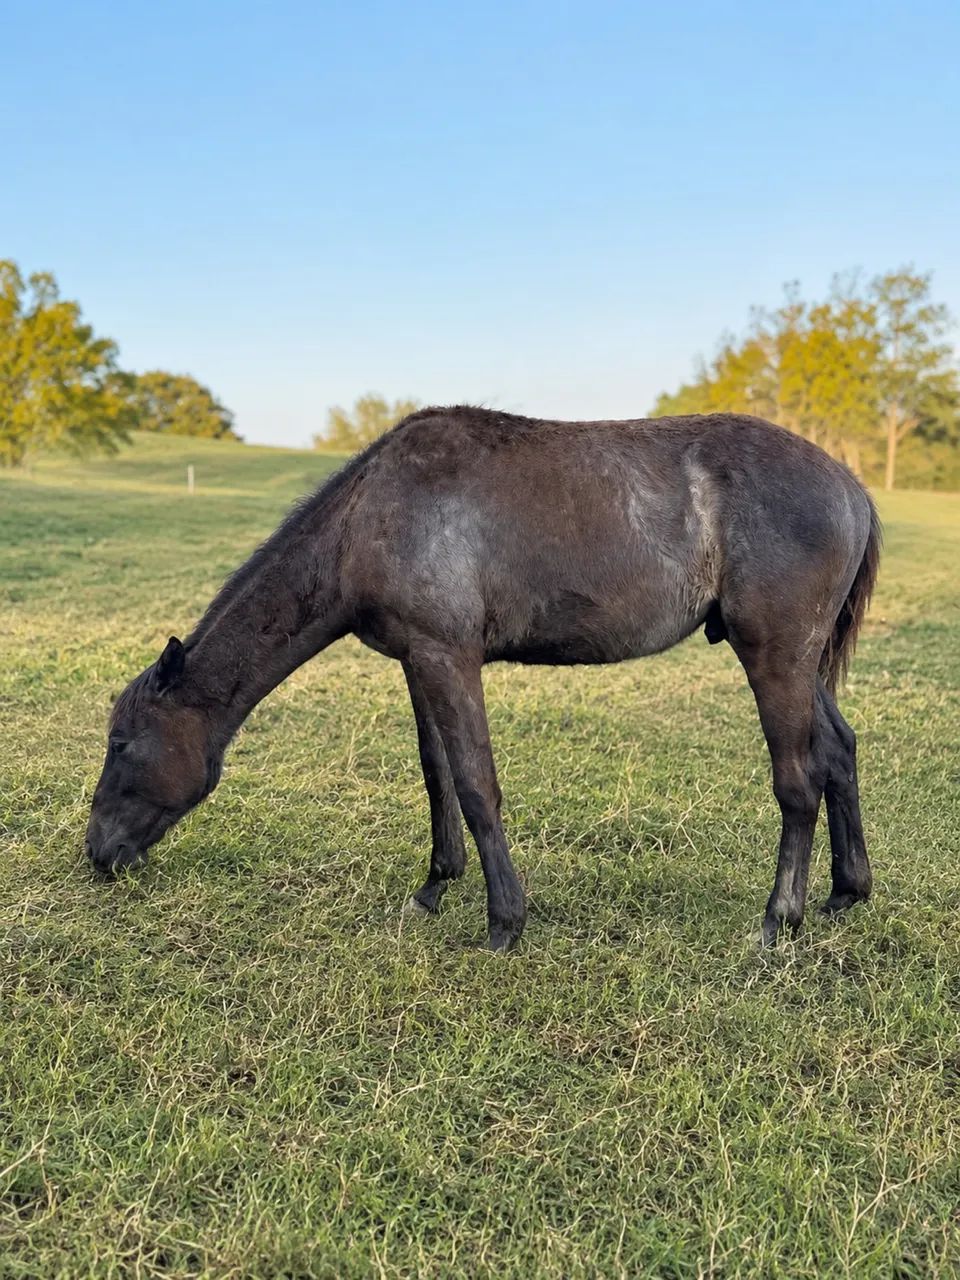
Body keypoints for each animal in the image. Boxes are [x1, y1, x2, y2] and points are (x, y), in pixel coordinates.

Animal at [85, 407, 880, 950]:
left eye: (122, 744)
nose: (96, 854)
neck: (367, 518)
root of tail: (851, 486)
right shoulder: (419, 661)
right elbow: (436, 774)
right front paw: (435, 885)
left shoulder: (449, 658)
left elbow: (474, 783)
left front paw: (504, 920)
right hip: (800, 664)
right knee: (839, 753)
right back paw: (847, 893)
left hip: (773, 656)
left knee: (798, 781)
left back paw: (779, 919)